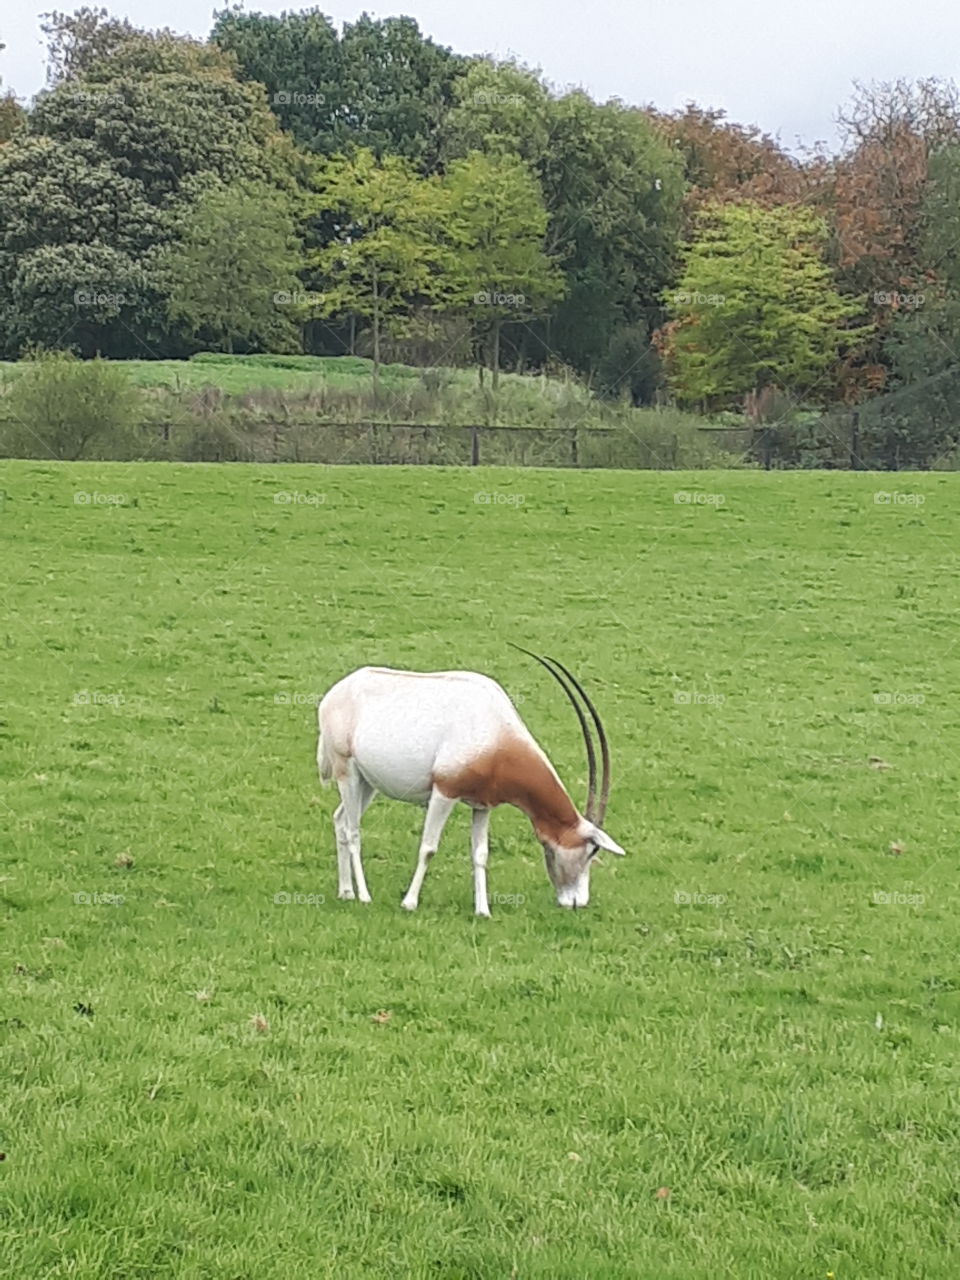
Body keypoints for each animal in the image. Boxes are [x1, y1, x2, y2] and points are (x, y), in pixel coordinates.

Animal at [320, 655, 627, 916]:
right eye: (592, 850)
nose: (577, 902)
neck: (496, 731)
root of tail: (334, 694)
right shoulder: (444, 792)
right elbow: (428, 847)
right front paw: (409, 902)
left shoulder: (483, 805)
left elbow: (480, 854)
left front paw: (483, 911)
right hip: (347, 771)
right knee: (353, 830)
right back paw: (364, 896)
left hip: (367, 783)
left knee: (340, 820)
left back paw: (346, 892)